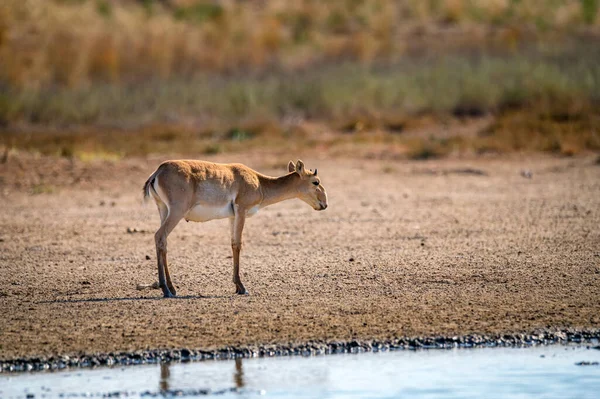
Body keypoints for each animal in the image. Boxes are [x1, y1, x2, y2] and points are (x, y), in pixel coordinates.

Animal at [139, 159, 328, 296]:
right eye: (315, 181)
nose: (324, 204)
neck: (259, 182)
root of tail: (158, 171)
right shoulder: (241, 211)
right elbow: (238, 244)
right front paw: (241, 287)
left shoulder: (232, 217)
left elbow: (232, 244)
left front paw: (238, 286)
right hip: (176, 212)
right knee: (160, 236)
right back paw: (165, 289)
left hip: (164, 210)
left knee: (163, 242)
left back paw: (172, 288)